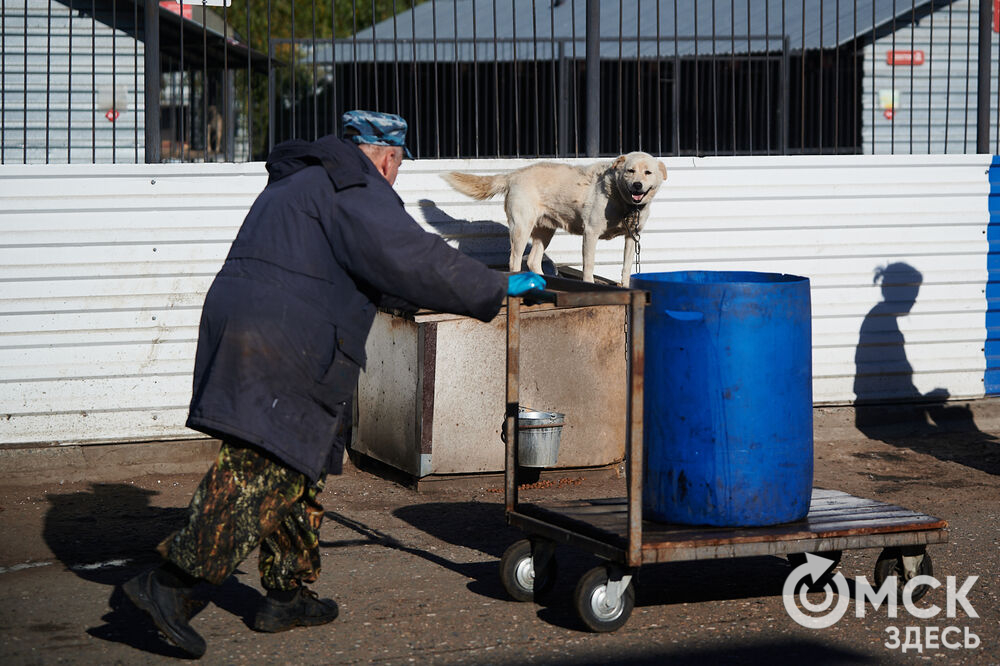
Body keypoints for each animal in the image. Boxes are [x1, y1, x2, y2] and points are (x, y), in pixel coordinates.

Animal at [444, 152, 664, 284]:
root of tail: (513, 174)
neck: (622, 200)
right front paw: (590, 284)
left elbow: (627, 267)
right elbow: (589, 265)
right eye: (630, 171)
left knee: (533, 261)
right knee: (514, 260)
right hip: (521, 228)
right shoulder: (591, 233)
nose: (637, 185)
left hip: (545, 232)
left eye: (648, 172)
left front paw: (625, 286)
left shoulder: (631, 237)